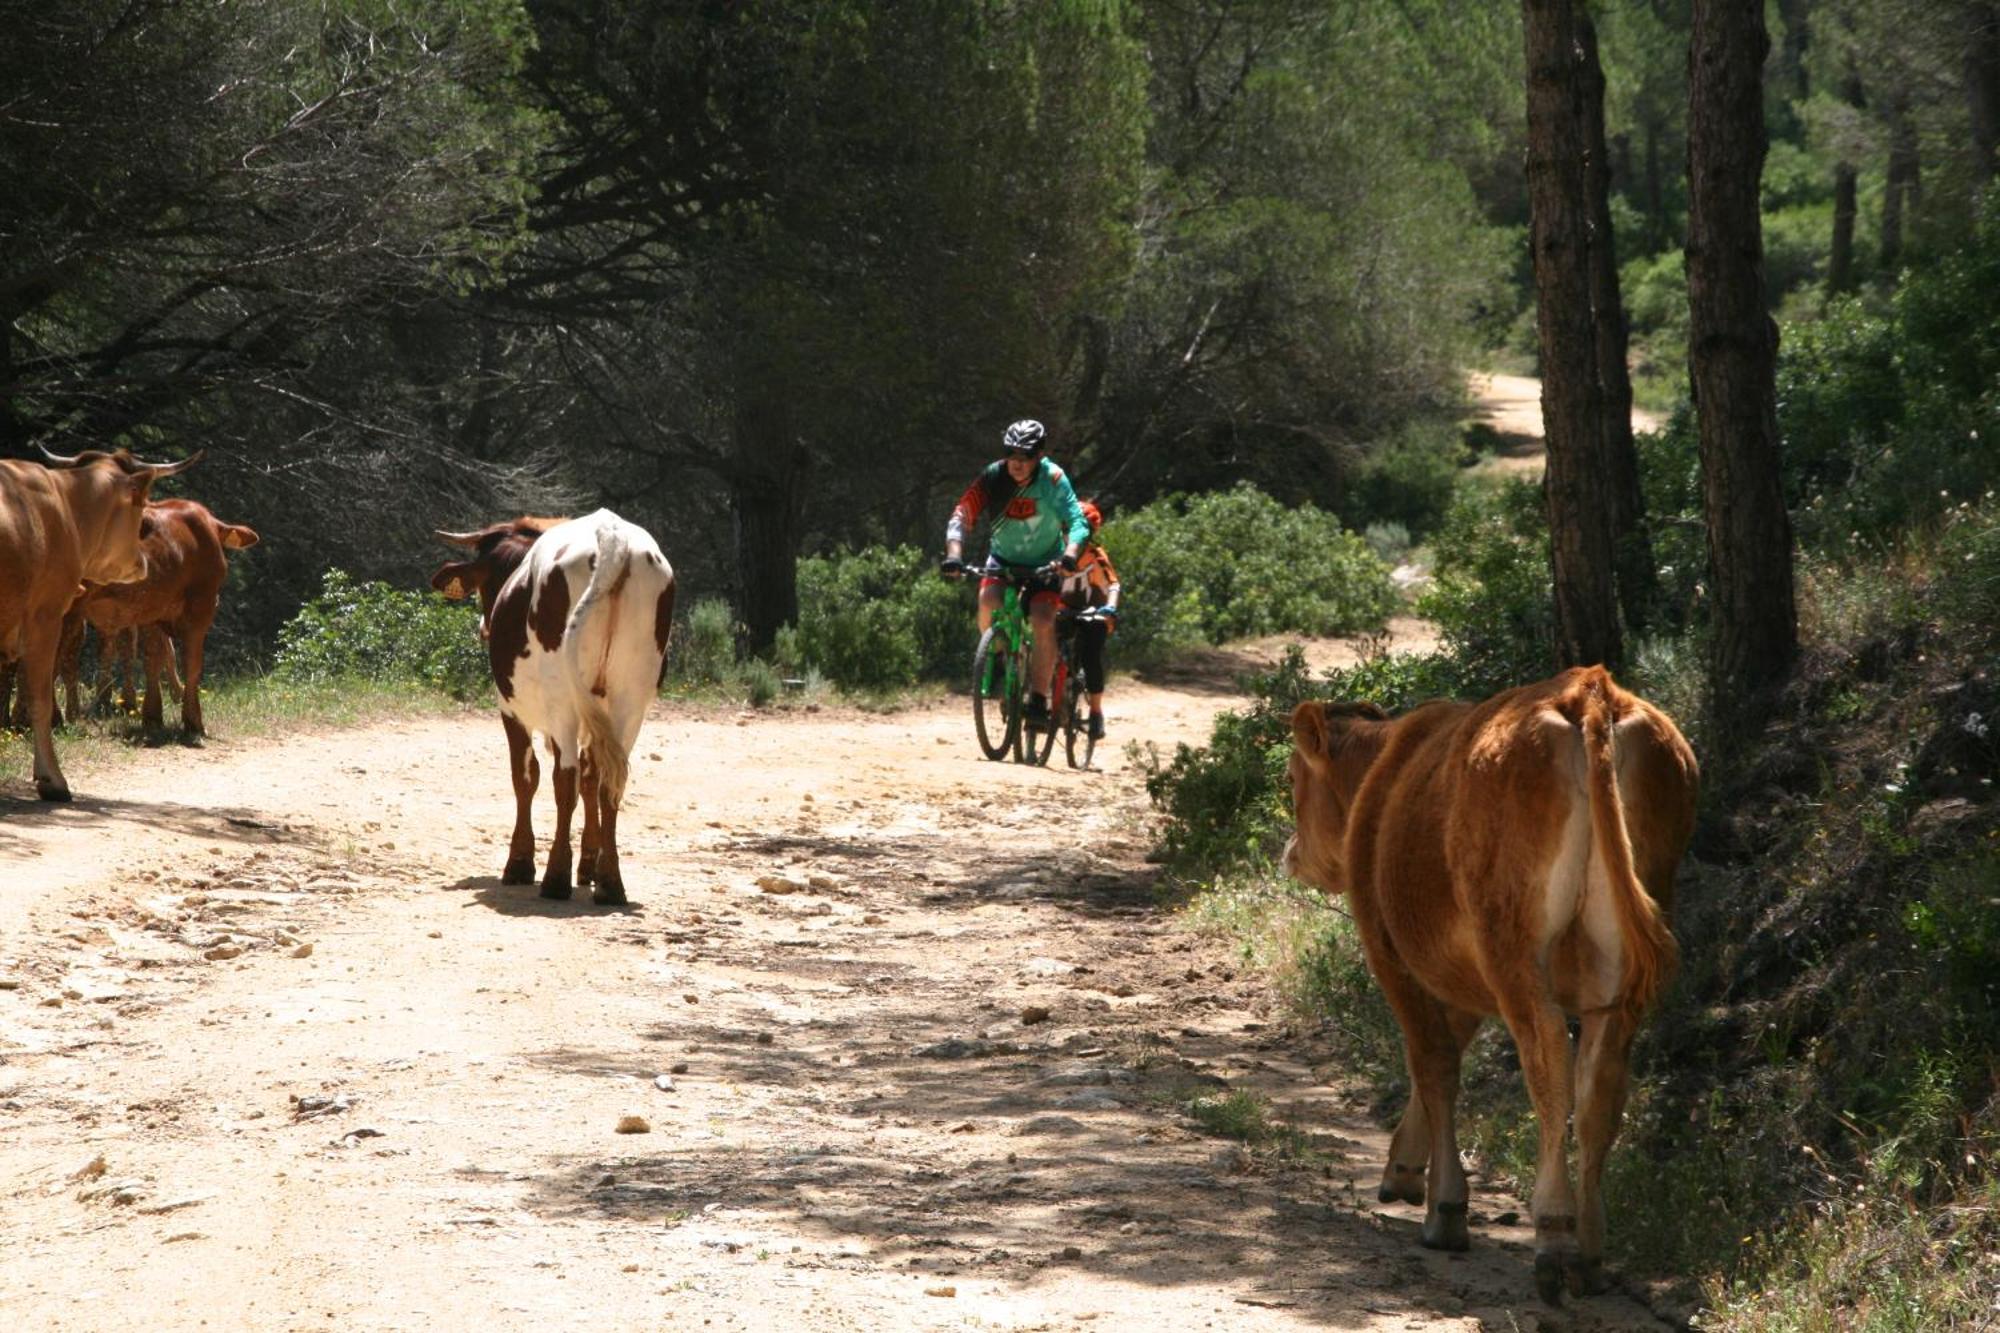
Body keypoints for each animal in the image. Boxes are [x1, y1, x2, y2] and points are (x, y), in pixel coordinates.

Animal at [0, 446, 203, 800]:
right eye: (141, 509)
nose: (143, 562)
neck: (65, 506)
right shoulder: (44, 617)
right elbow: (40, 697)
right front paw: (53, 779)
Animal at [63, 498, 260, 732]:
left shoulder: (152, 610)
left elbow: (153, 658)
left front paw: (152, 714)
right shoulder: (201, 607)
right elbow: (191, 661)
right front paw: (193, 720)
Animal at [430, 508, 680, 904]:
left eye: (487, 583)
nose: (485, 625)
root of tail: (612, 535)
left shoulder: (511, 709)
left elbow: (525, 777)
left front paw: (520, 863)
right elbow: (592, 778)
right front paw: (589, 863)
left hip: (563, 703)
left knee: (565, 779)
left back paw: (556, 877)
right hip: (631, 702)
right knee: (610, 782)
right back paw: (609, 882)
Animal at [1280, 664, 1704, 1296]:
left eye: (1292, 779)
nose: (1290, 853)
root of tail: (1589, 689)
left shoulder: (1392, 954)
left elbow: (1433, 1065)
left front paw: (1444, 1208)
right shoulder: (1460, 977)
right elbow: (1443, 1058)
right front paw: (1404, 1167)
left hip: (1515, 949)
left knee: (1548, 1060)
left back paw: (1553, 1235)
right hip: (1618, 968)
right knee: (1599, 1087)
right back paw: (1589, 1248)